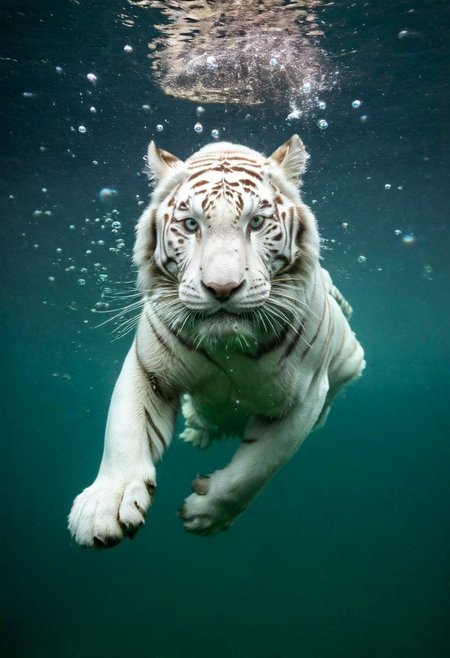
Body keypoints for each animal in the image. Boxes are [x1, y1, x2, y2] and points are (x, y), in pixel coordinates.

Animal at [68, 134, 365, 547]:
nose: (222, 288)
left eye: (256, 222)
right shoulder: (148, 368)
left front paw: (207, 514)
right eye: (191, 224)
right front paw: (103, 507)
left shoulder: (304, 397)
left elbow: (258, 466)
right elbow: (124, 429)